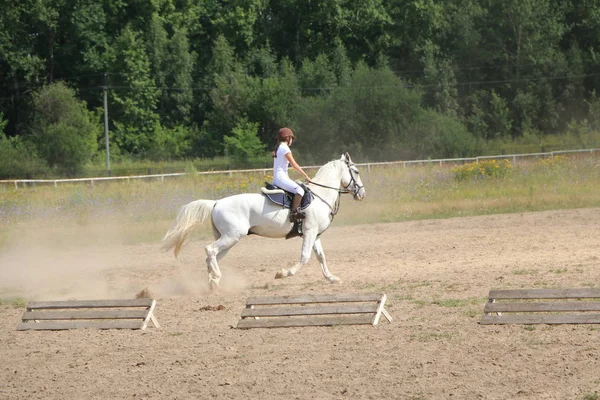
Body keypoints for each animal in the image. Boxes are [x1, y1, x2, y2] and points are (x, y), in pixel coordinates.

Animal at [161, 152, 366, 288]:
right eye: (356, 171)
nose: (362, 194)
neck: (319, 195)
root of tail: (216, 203)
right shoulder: (309, 232)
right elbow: (305, 257)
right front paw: (282, 273)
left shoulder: (315, 234)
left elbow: (320, 257)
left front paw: (331, 278)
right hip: (232, 236)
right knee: (209, 250)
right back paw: (216, 278)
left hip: (227, 239)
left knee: (212, 257)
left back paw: (212, 281)